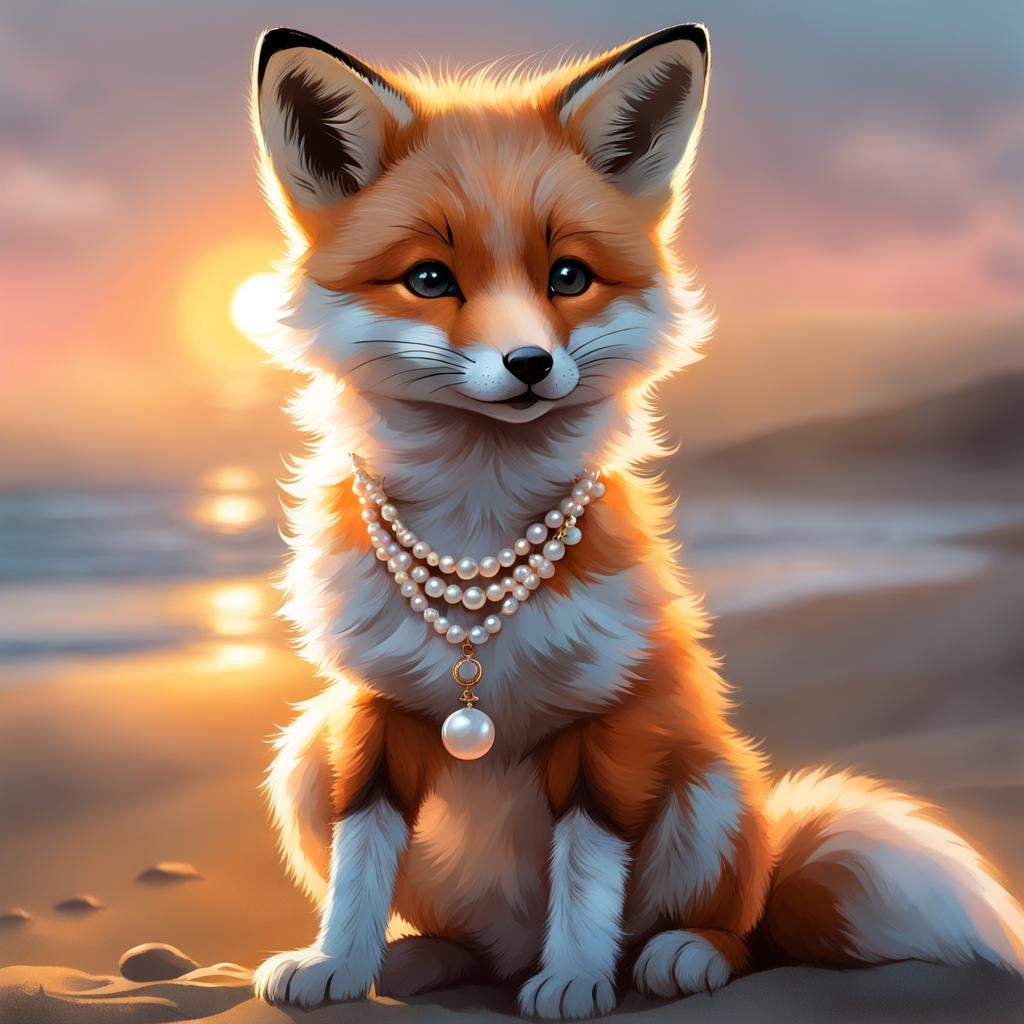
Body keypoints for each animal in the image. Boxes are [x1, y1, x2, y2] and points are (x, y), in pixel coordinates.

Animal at [246, 22, 1024, 1020]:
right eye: (429, 278)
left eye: (567, 275)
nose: (530, 363)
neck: (478, 536)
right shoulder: (372, 713)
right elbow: (358, 862)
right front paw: (339, 962)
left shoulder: (610, 725)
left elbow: (586, 876)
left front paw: (578, 978)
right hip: (304, 757)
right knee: (467, 942)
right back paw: (420, 960)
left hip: (709, 791)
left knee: (739, 934)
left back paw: (676, 956)